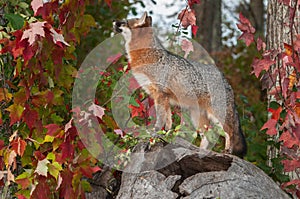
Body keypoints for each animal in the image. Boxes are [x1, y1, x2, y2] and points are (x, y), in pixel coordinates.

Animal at [112, 12, 246, 157]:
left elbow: (160, 120)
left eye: (124, 22)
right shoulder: (163, 98)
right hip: (197, 117)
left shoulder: (160, 95)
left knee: (230, 132)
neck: (147, 55)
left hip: (217, 115)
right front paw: (165, 135)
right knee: (207, 135)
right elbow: (168, 121)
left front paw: (153, 137)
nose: (114, 21)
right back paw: (200, 151)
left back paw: (228, 151)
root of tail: (226, 80)